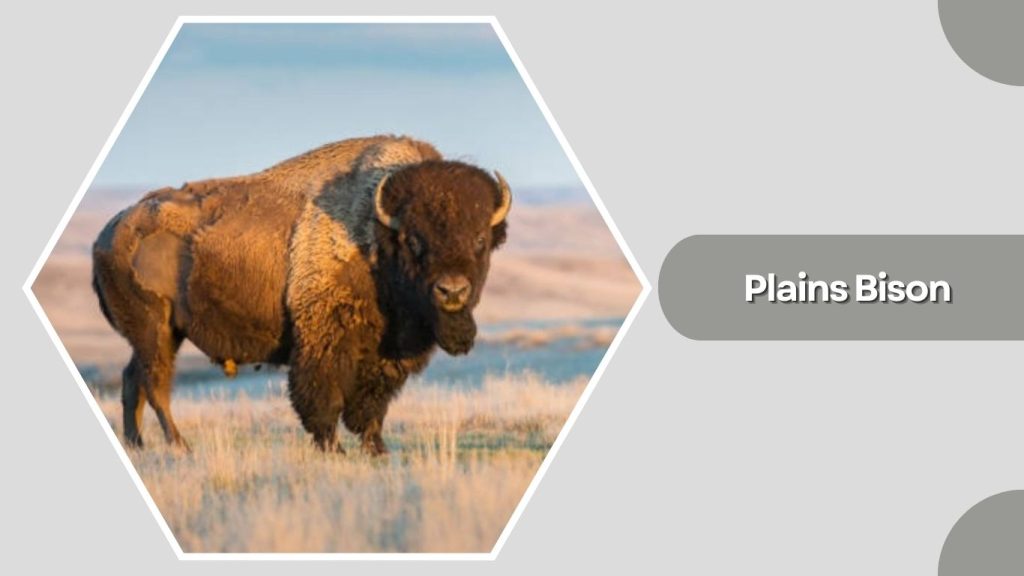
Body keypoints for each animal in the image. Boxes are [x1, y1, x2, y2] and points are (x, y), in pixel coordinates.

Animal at [92, 135, 511, 453]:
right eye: (413, 240)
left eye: (480, 240)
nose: (452, 290)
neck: (376, 234)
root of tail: (110, 232)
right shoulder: (322, 340)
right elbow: (323, 398)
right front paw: (334, 449)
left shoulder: (386, 355)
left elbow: (372, 405)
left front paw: (377, 450)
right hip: (156, 330)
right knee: (155, 385)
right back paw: (180, 446)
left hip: (160, 335)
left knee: (132, 380)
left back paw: (138, 445)